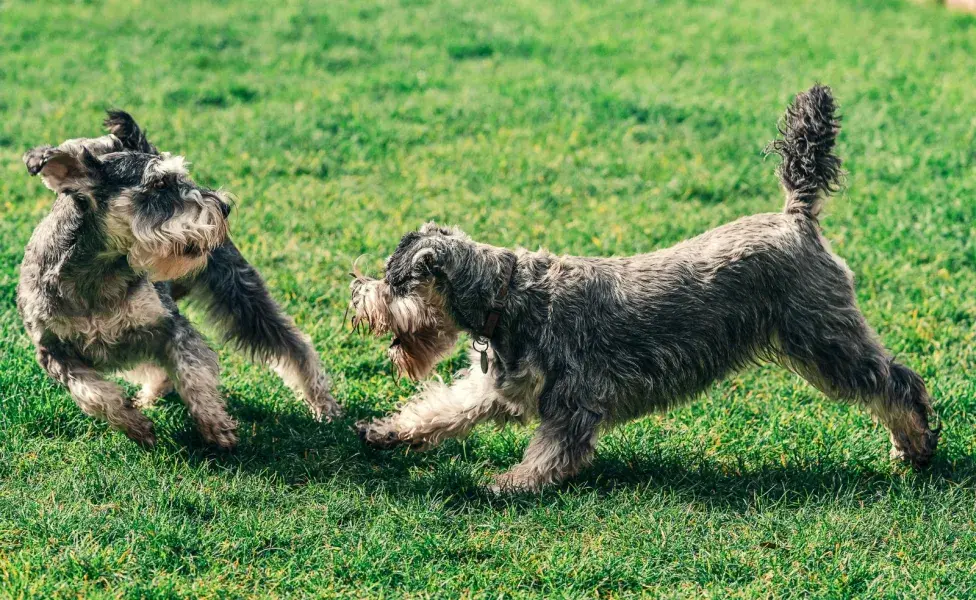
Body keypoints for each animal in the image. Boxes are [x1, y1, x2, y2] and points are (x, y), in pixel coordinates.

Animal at [18, 113, 344, 450]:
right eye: (160, 183)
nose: (224, 207)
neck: (96, 275)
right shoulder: (54, 352)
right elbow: (93, 395)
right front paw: (137, 426)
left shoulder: (170, 326)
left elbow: (192, 373)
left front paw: (215, 425)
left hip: (240, 292)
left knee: (294, 345)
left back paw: (324, 404)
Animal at [350, 86, 936, 494]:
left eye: (394, 280)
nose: (357, 293)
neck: (506, 297)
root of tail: (797, 217)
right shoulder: (495, 387)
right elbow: (442, 408)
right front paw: (389, 432)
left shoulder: (574, 399)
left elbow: (552, 452)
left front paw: (511, 483)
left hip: (824, 340)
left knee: (898, 384)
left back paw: (915, 448)